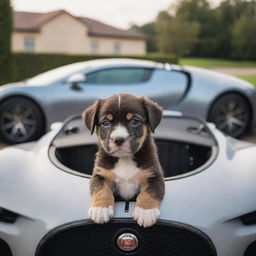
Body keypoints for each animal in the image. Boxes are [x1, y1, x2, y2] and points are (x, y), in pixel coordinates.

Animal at [83, 93, 165, 227]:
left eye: (134, 121)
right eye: (105, 123)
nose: (119, 139)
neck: (124, 159)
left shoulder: (154, 175)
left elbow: (150, 192)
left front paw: (146, 212)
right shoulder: (100, 174)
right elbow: (101, 189)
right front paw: (100, 209)